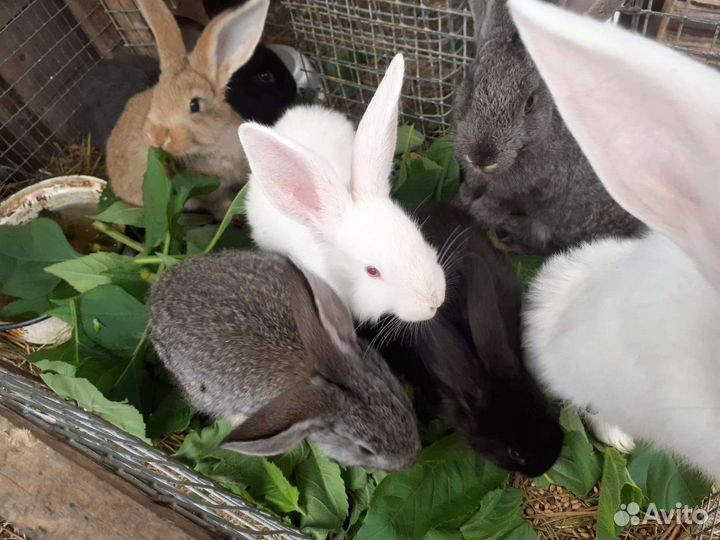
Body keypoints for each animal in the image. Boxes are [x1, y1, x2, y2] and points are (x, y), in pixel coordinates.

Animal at [106, 0, 269, 220]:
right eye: (155, 99)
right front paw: (233, 217)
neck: (214, 146)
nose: (158, 137)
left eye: (195, 105)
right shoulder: (211, 194)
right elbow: (221, 207)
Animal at [453, 0, 644, 255]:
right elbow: (472, 186)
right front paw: (463, 198)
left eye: (530, 103)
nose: (481, 157)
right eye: (471, 84)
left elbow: (497, 201)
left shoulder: (529, 187)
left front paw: (479, 213)